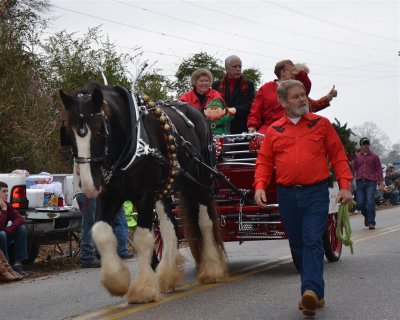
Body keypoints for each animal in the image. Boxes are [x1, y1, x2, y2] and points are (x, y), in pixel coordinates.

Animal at [59, 82, 228, 302]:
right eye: (69, 134)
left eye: (100, 130)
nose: (88, 185)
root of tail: (198, 113)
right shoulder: (109, 196)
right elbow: (101, 232)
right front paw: (116, 280)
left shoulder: (145, 195)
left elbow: (143, 238)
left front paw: (143, 289)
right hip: (167, 187)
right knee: (170, 228)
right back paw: (167, 276)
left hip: (201, 180)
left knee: (205, 221)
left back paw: (212, 269)